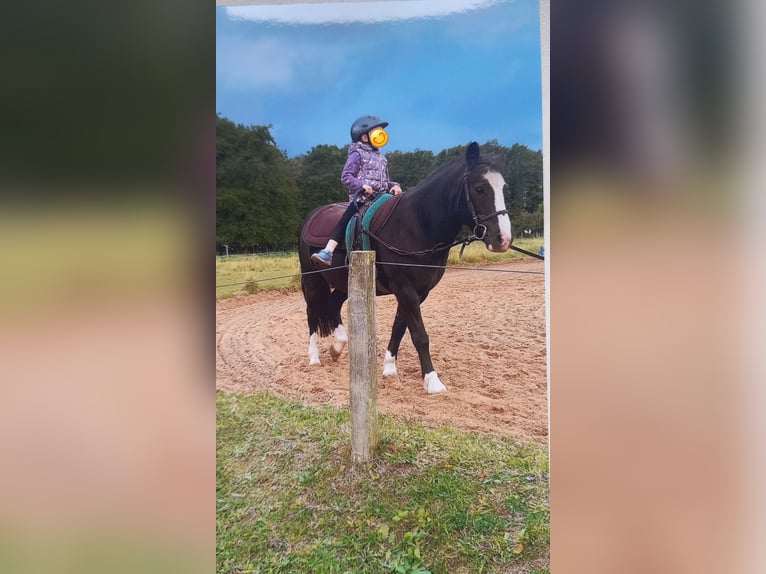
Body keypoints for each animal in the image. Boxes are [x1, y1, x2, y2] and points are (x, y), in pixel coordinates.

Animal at [297, 141, 512, 394]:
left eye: (504, 188)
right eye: (479, 188)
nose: (503, 239)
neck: (418, 223)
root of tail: (311, 216)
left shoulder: (417, 292)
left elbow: (399, 328)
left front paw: (389, 368)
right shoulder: (406, 289)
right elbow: (419, 334)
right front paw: (432, 381)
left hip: (346, 281)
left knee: (333, 304)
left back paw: (338, 346)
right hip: (312, 279)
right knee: (312, 314)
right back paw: (314, 357)